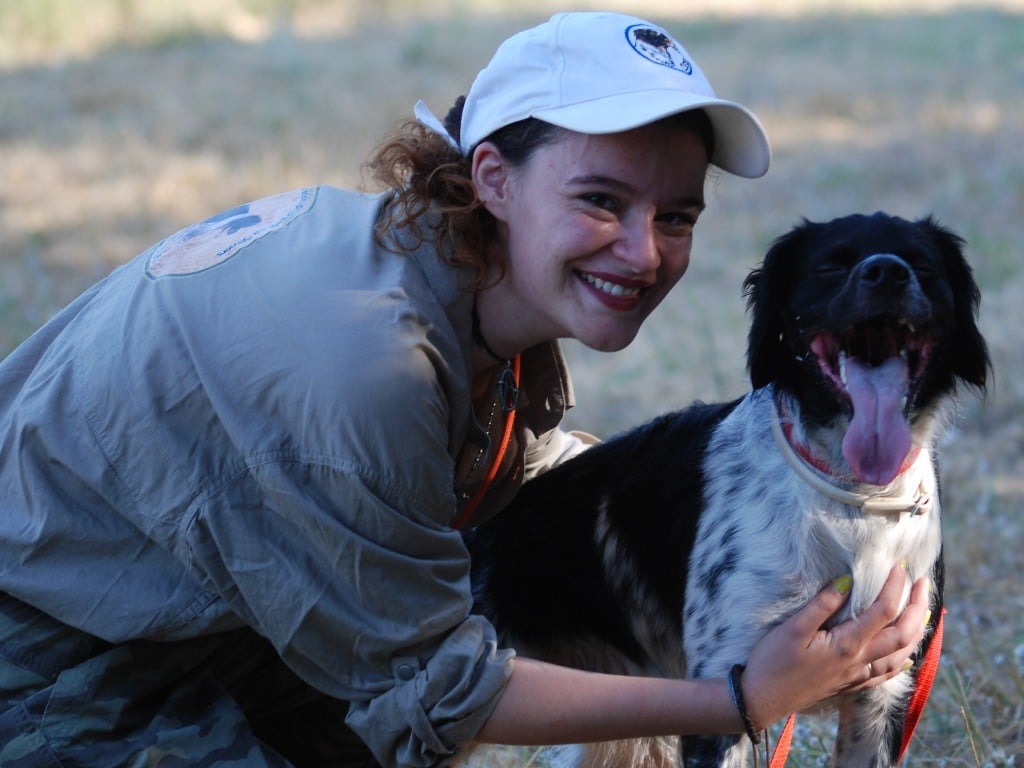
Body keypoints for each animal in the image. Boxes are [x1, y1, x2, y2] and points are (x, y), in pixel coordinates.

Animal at [468, 211, 987, 768]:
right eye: (831, 265)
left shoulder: (884, 697)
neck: (852, 497)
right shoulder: (728, 694)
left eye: (923, 266)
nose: (888, 272)